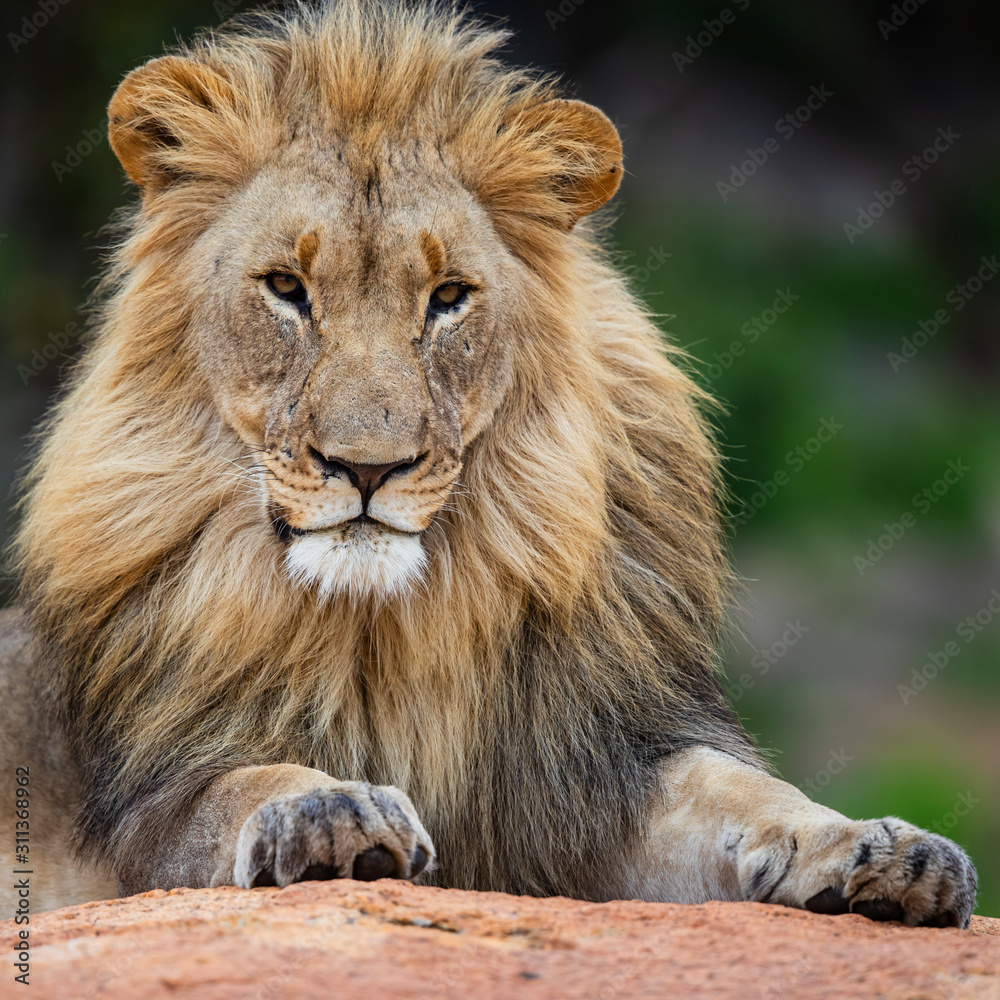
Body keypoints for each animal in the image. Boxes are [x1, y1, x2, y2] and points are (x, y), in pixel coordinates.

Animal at [0, 0, 976, 928]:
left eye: (448, 298)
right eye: (286, 289)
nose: (367, 468)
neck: (381, 629)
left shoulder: (594, 763)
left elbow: (744, 790)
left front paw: (881, 850)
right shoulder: (150, 808)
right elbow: (241, 785)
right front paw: (331, 809)